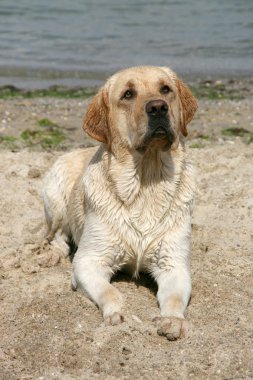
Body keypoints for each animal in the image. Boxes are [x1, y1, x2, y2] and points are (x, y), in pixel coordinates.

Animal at [43, 66, 198, 342]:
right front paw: (117, 315)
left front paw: (172, 321)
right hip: (56, 197)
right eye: (128, 94)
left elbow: (174, 297)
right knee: (57, 236)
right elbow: (110, 292)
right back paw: (52, 255)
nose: (158, 107)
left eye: (166, 89)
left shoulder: (174, 264)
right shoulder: (88, 261)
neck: (146, 181)